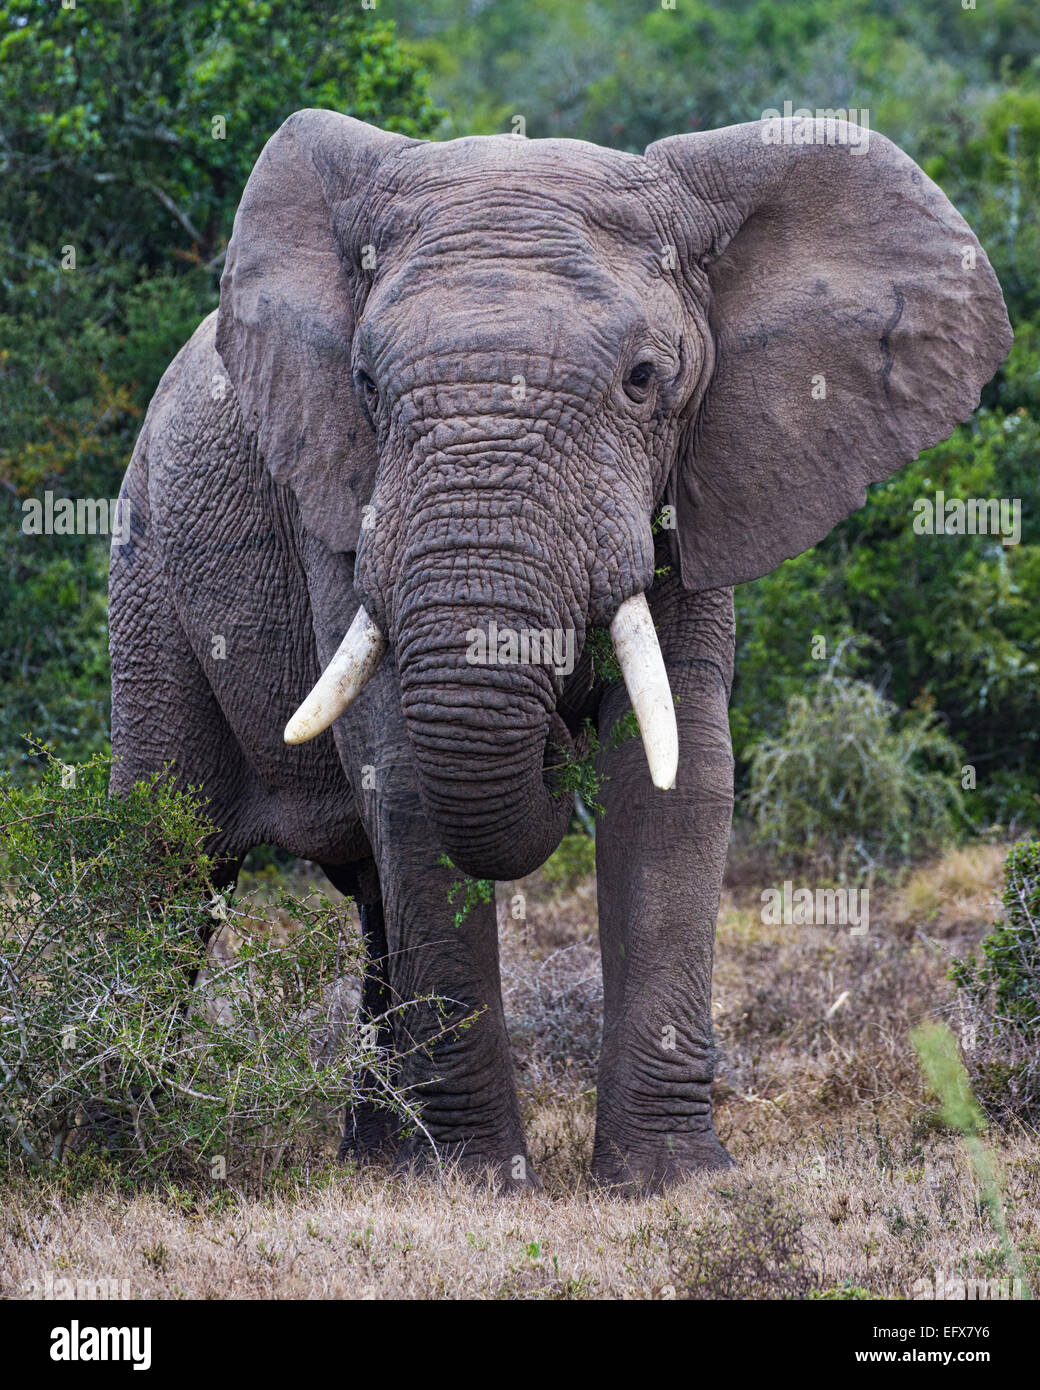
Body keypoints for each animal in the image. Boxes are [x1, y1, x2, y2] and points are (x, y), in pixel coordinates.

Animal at [108, 108, 1011, 1192]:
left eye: (644, 381)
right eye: (364, 384)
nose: (551, 741)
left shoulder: (704, 479)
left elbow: (674, 774)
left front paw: (668, 1180)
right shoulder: (336, 497)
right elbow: (402, 774)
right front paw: (472, 1184)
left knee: (357, 898)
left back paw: (371, 1158)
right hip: (148, 562)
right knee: (165, 855)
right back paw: (108, 1145)